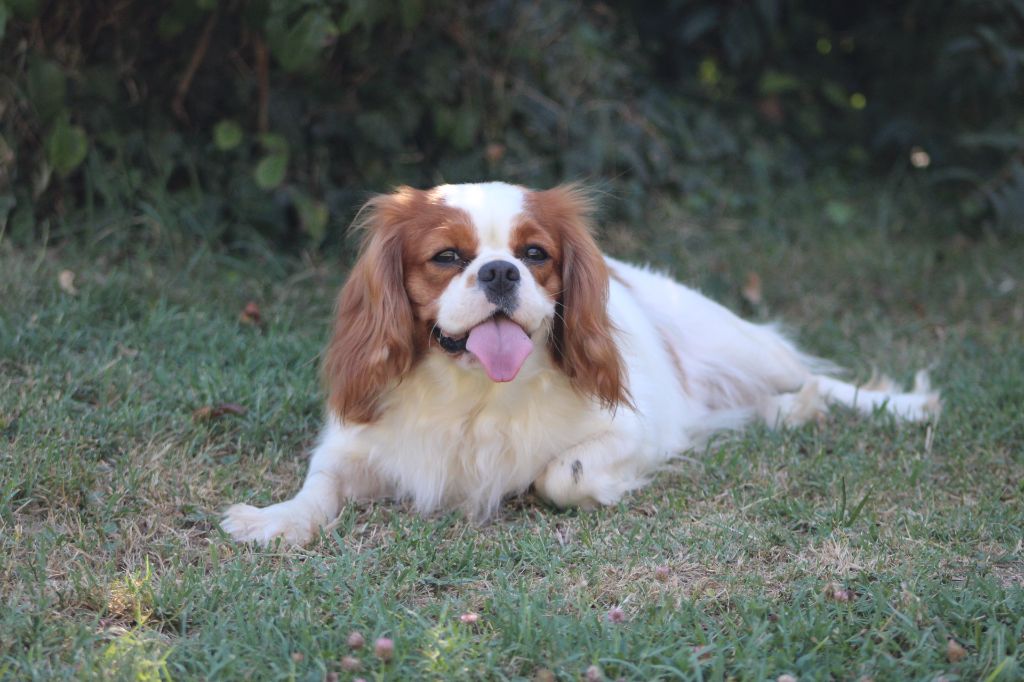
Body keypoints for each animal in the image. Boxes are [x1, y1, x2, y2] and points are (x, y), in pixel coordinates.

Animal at [220, 180, 937, 540]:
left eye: (535, 253)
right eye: (446, 257)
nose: (500, 271)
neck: (476, 390)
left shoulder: (634, 430)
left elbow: (559, 476)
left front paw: (599, 491)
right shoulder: (352, 445)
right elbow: (318, 489)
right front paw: (275, 520)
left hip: (743, 346)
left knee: (812, 377)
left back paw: (897, 406)